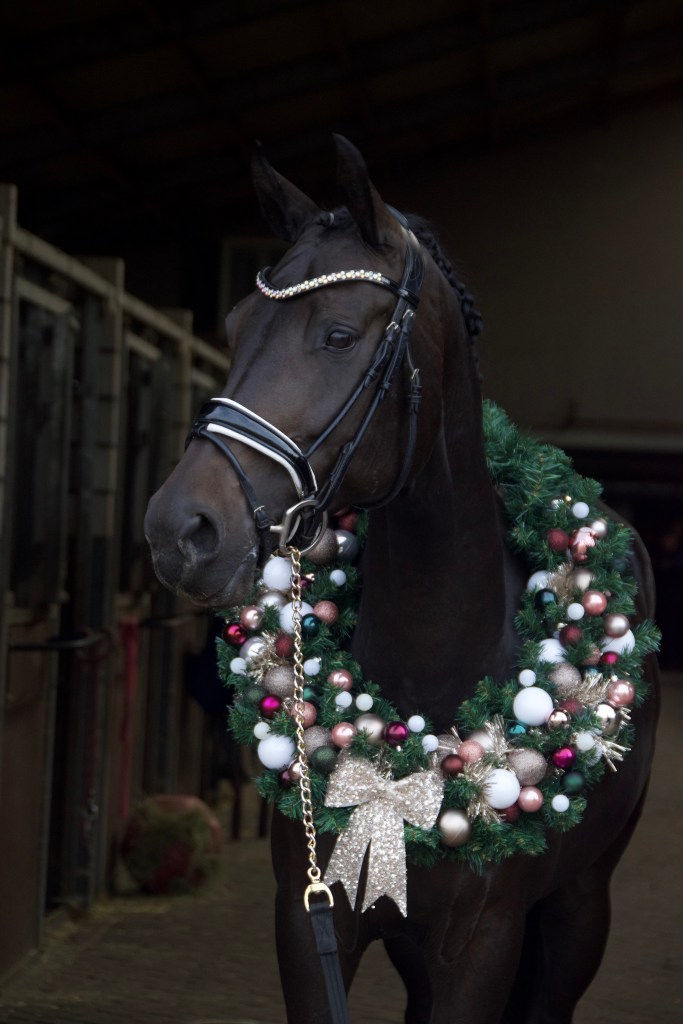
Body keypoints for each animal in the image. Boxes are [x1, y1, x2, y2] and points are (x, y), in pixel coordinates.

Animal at [144, 135, 659, 1024]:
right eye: (236, 325)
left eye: (339, 334)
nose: (180, 530)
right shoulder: (310, 923)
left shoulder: (482, 943)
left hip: (576, 911)